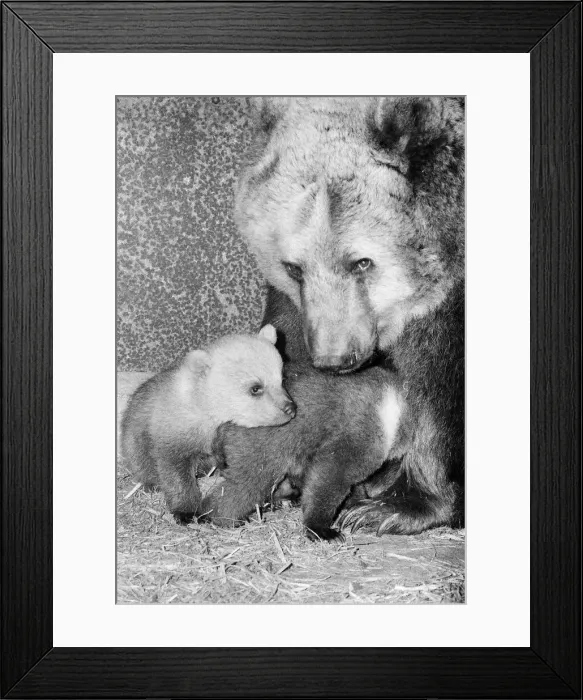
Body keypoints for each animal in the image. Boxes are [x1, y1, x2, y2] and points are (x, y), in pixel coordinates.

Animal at [120, 324, 296, 523]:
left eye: (281, 379)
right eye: (255, 387)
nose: (290, 408)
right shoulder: (173, 431)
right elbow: (174, 470)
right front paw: (185, 510)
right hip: (134, 435)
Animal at [201, 363, 412, 541]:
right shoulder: (346, 453)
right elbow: (325, 490)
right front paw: (320, 529)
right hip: (260, 463)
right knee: (232, 495)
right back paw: (227, 520)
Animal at [228, 96, 465, 536]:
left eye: (362, 262)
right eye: (293, 267)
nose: (334, 358)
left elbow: (439, 383)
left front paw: (397, 506)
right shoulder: (296, 307)